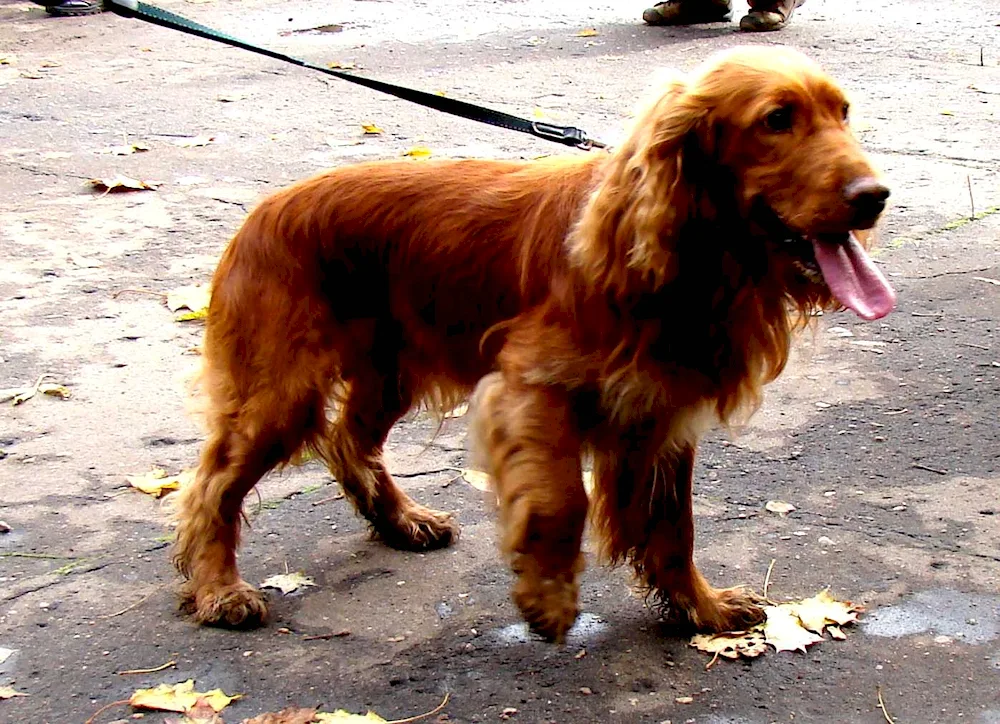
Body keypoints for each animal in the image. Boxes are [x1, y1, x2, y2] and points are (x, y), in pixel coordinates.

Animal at [168, 45, 896, 640]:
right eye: (777, 119)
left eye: (843, 112)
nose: (876, 196)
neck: (689, 264)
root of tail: (262, 212)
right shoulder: (528, 385)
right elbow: (564, 499)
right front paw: (547, 599)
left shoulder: (662, 411)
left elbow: (674, 527)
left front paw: (702, 609)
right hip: (281, 392)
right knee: (213, 487)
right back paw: (219, 591)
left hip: (391, 368)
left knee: (349, 442)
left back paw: (400, 522)